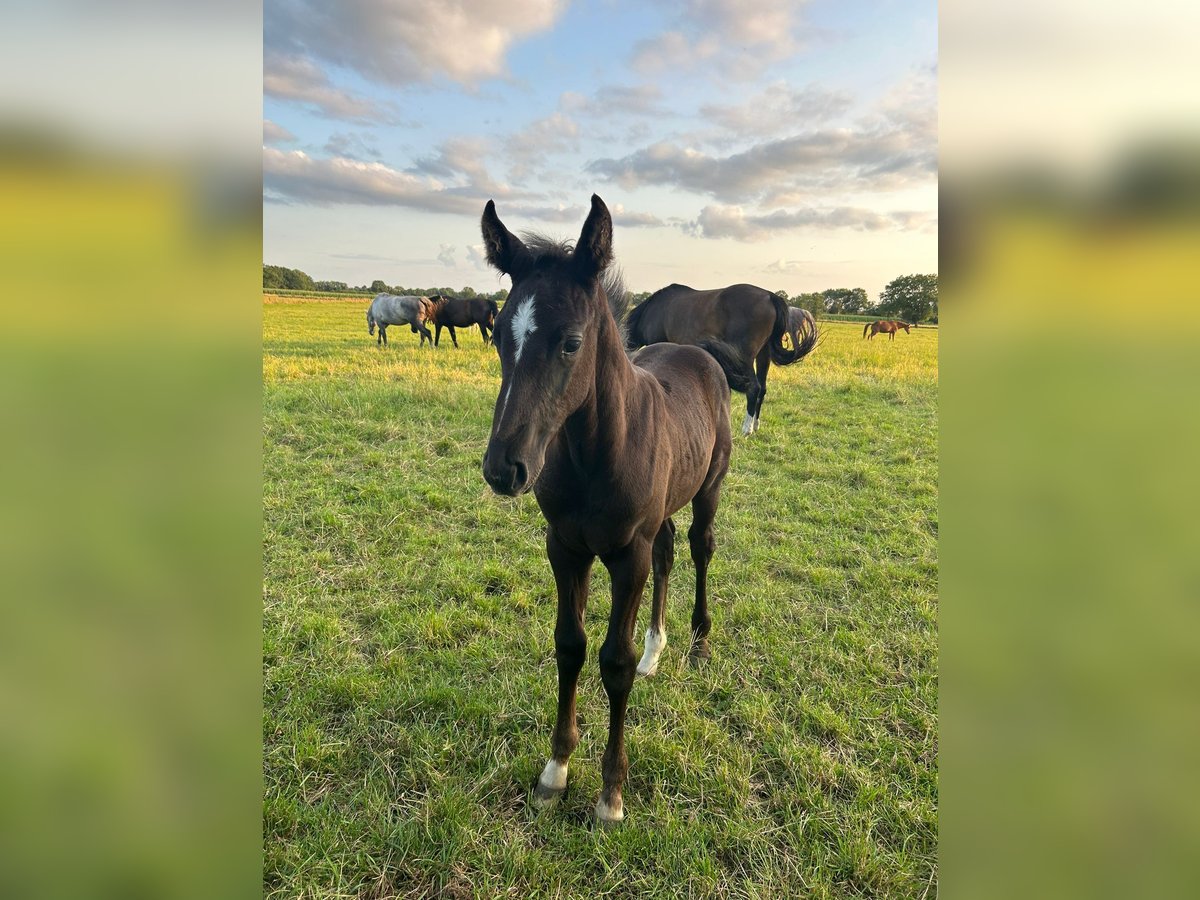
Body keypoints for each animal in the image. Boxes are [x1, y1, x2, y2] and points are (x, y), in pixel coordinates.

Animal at [480, 194, 739, 830]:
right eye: (497, 336)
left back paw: (697, 643)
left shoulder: (626, 556)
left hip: (709, 488)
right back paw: (656, 649)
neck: (594, 454)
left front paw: (610, 794)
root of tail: (699, 351)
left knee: (699, 548)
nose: (504, 469)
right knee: (669, 551)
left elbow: (612, 662)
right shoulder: (565, 548)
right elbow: (569, 646)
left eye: (571, 342)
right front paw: (555, 772)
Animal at [624, 282, 820, 436]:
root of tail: (770, 296)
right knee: (763, 389)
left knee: (754, 388)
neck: (653, 310)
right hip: (764, 355)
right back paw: (756, 425)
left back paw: (747, 428)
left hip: (744, 358)